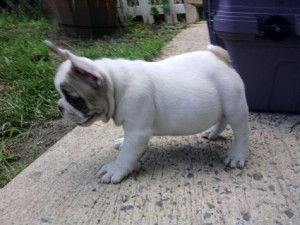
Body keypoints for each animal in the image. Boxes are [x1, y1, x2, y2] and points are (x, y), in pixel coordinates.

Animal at [44, 40, 250, 184]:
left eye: (73, 98)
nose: (60, 107)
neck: (115, 84)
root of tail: (221, 57)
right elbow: (126, 143)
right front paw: (121, 142)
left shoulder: (137, 131)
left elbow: (127, 154)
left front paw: (115, 169)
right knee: (221, 120)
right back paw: (212, 133)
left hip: (234, 105)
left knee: (240, 132)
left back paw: (236, 156)